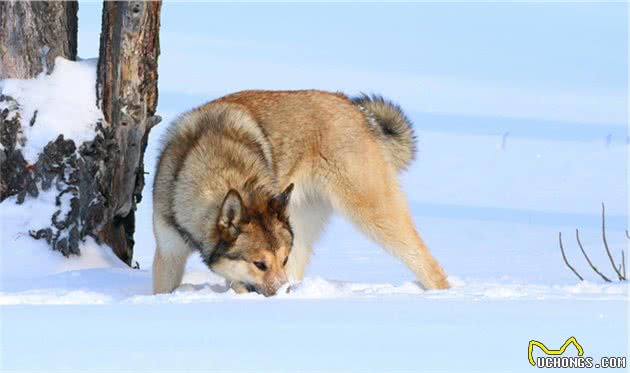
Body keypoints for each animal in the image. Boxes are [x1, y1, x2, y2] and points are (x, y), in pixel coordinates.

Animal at [151, 89, 452, 294]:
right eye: (260, 264)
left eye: (280, 260)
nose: (283, 293)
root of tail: (352, 107)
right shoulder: (169, 253)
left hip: (372, 213)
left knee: (428, 263)